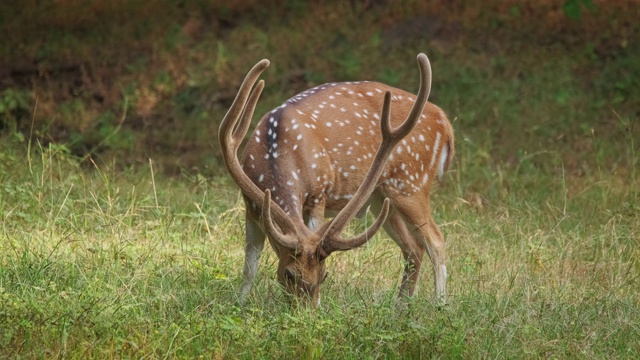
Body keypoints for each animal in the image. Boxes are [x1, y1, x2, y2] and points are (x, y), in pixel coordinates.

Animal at [220, 53, 456, 306]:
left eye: (324, 275)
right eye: (289, 274)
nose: (306, 312)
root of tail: (444, 121)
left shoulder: (318, 194)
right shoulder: (251, 207)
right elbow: (249, 267)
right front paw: (238, 304)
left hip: (411, 182)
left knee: (436, 241)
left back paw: (439, 304)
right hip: (381, 198)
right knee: (414, 248)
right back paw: (400, 306)